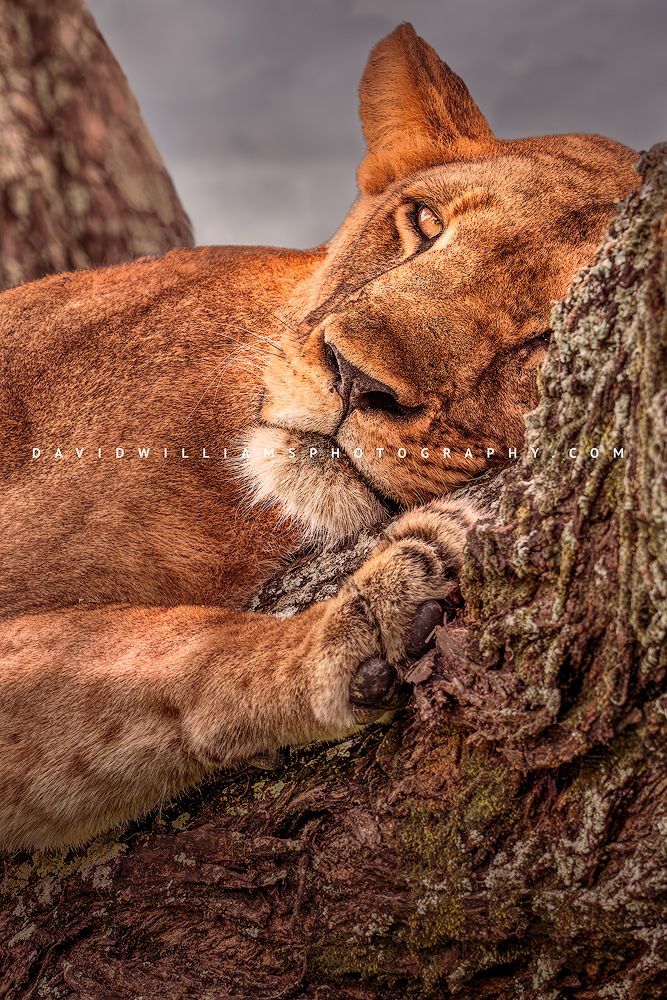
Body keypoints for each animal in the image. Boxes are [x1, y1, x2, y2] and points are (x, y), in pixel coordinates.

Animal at [0, 24, 638, 850]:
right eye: (424, 222)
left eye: (550, 335)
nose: (353, 376)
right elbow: (147, 652)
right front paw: (356, 624)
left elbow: (143, 661)